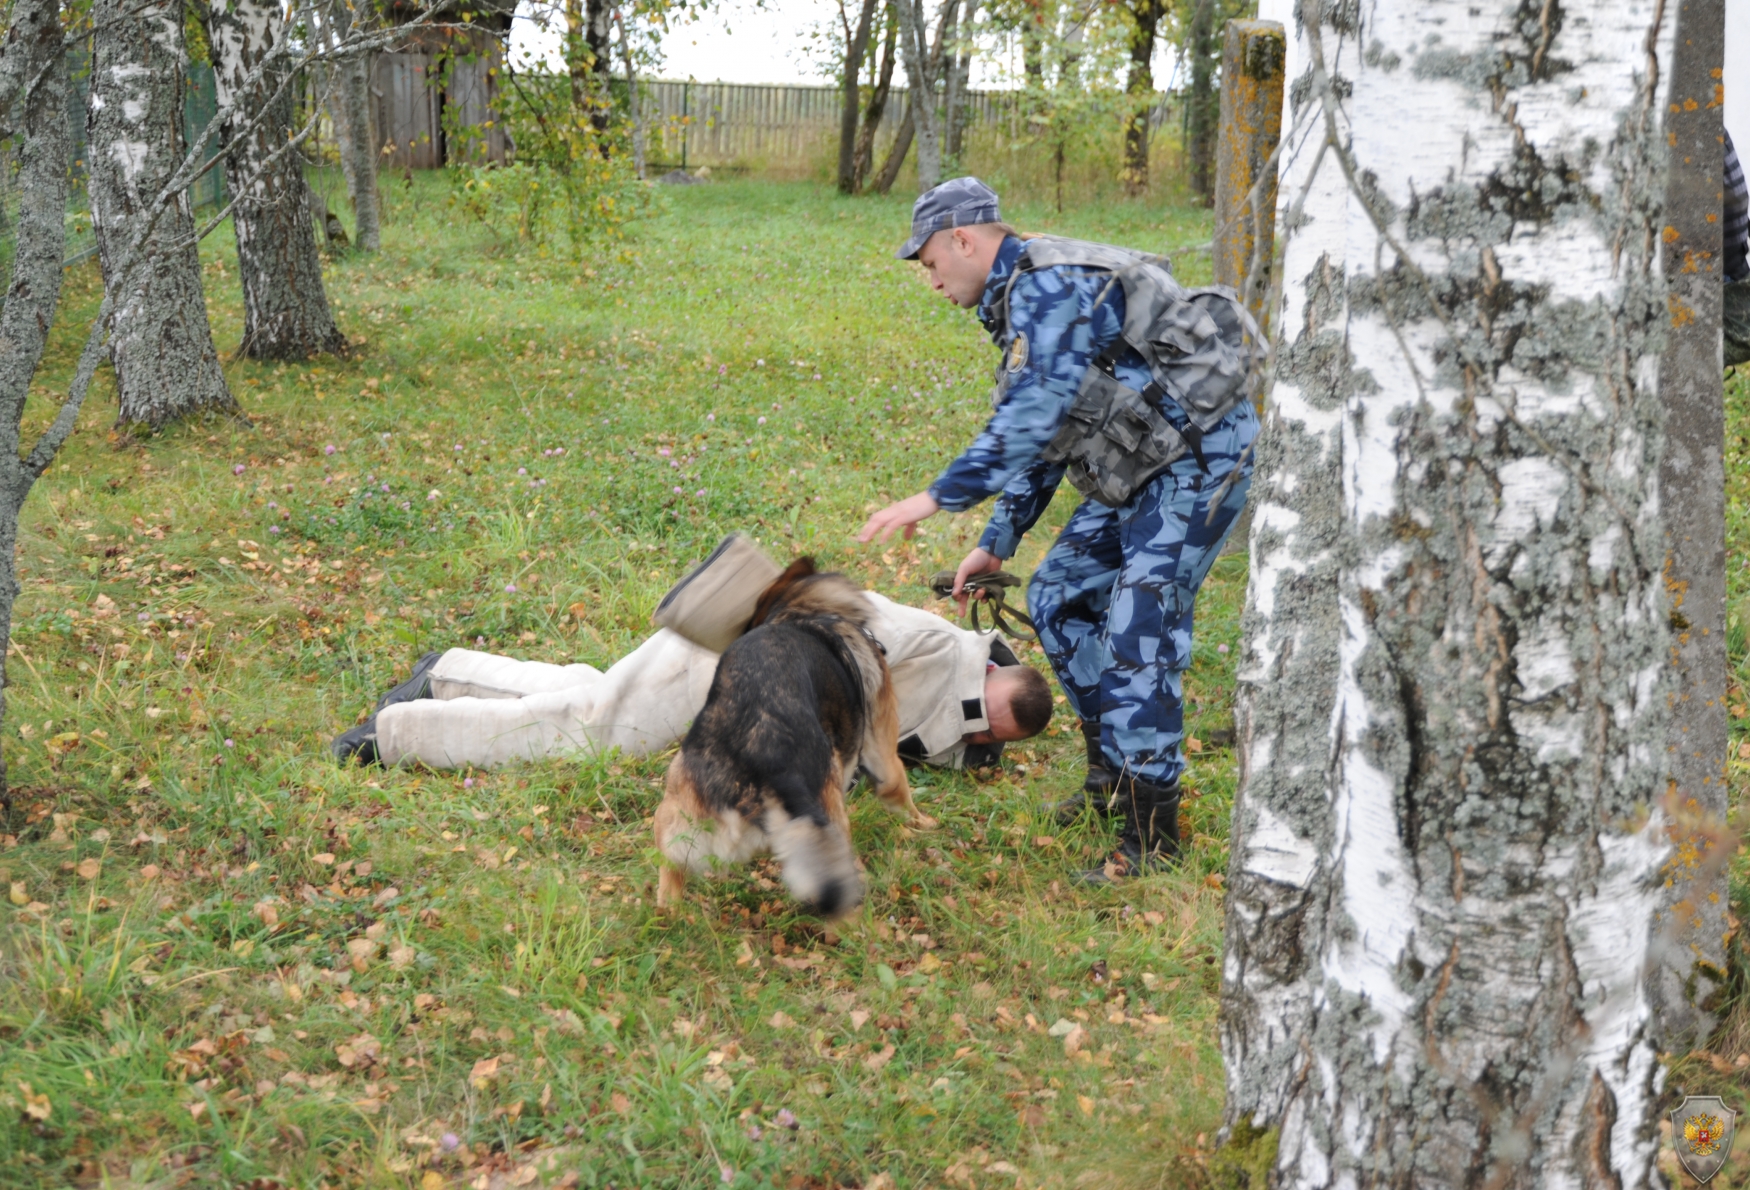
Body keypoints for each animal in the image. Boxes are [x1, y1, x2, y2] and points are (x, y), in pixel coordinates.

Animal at [658, 563, 931, 917]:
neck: (799, 613)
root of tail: (762, 752)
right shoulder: (884, 756)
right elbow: (902, 795)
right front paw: (925, 824)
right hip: (830, 829)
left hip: (676, 818)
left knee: (669, 873)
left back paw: (671, 912)